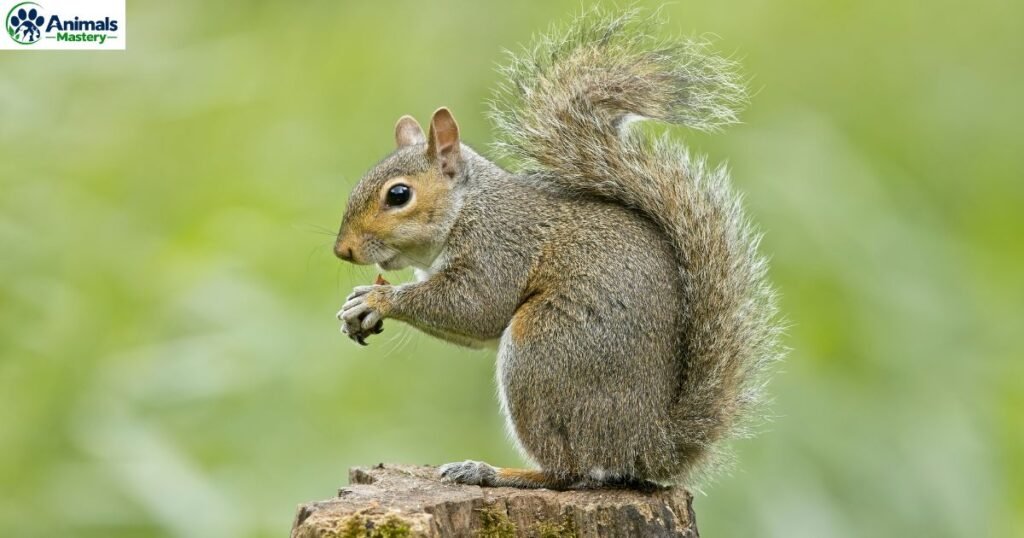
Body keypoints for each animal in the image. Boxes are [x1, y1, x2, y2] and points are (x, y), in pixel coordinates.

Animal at [334, 9, 782, 489]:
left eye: (399, 195)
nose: (342, 251)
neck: (468, 207)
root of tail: (647, 446)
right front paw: (357, 306)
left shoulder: (500, 246)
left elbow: (476, 307)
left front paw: (378, 299)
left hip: (542, 353)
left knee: (567, 470)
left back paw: (493, 471)